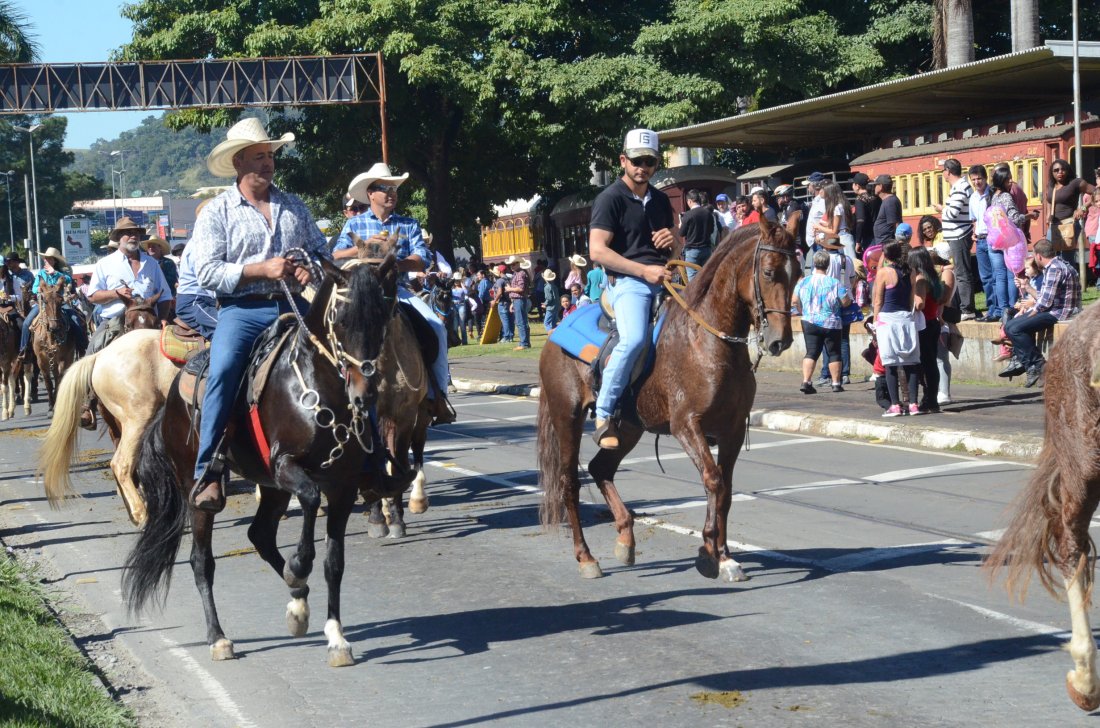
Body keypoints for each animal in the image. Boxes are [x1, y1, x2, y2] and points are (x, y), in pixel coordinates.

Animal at [122, 253, 400, 666]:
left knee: (260, 535)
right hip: (199, 488)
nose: (364, 394)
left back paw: (297, 605)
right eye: (341, 321)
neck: (317, 387)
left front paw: (336, 637)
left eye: (382, 318)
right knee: (202, 560)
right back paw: (219, 637)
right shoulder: (286, 466)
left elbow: (334, 562)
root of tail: (170, 400)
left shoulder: (344, 485)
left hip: (271, 488)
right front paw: (300, 566)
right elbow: (310, 501)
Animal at [537, 220, 799, 581]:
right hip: (568, 418)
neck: (707, 341)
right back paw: (586, 557)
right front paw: (709, 552)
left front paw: (725, 556)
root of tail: (554, 334)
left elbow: (727, 491)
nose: (780, 341)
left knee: (600, 469)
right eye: (770, 272)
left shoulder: (731, 430)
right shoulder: (686, 425)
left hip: (628, 428)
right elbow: (713, 481)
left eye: (798, 272)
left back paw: (626, 537)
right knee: (570, 482)